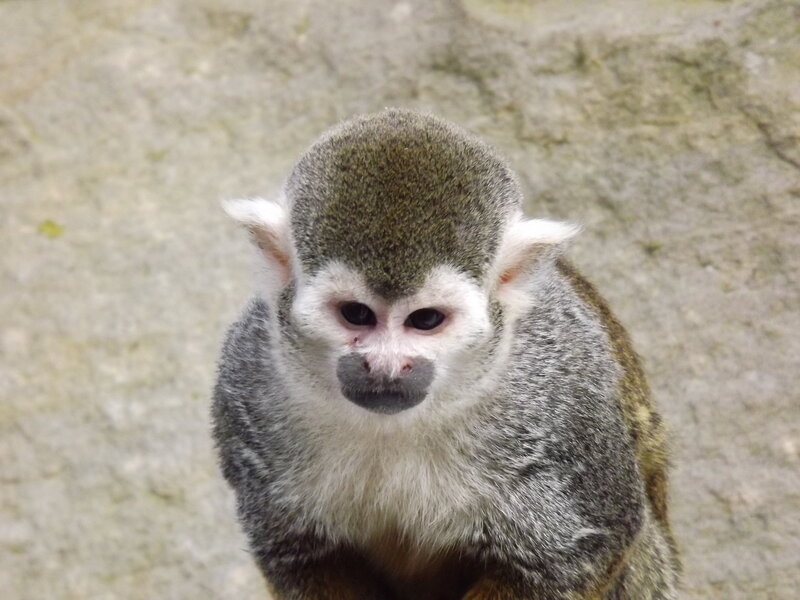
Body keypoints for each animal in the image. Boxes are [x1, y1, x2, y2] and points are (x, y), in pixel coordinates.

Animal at [212, 109, 680, 599]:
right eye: (357, 314)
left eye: (426, 320)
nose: (385, 366)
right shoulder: (247, 379)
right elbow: (301, 554)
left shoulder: (566, 404)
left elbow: (578, 554)